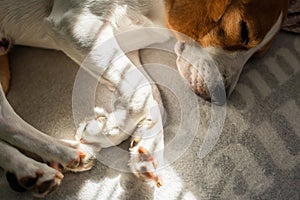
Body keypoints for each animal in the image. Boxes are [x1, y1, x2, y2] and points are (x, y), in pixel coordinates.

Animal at [0, 0, 290, 197]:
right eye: (243, 31)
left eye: (257, 56)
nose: (221, 98)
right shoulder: (78, 26)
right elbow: (143, 92)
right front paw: (103, 131)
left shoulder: (125, 46)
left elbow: (153, 96)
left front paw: (138, 142)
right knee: (8, 121)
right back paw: (55, 156)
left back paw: (33, 168)